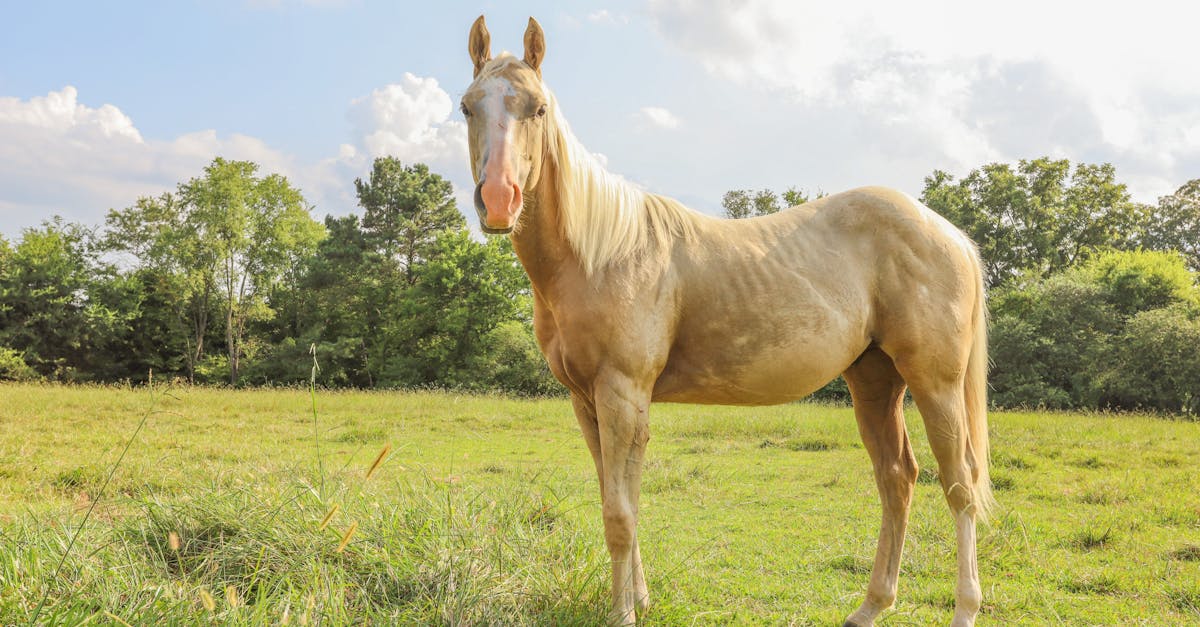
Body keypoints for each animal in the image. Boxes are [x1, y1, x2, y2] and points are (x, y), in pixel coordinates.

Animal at [460, 16, 993, 627]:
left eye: (538, 108)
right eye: (467, 106)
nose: (499, 200)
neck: (599, 254)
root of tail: (948, 232)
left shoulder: (623, 394)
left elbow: (620, 515)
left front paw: (623, 613)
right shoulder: (586, 401)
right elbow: (618, 502)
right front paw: (640, 599)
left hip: (936, 384)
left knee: (960, 486)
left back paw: (964, 607)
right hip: (875, 382)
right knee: (897, 479)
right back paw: (871, 606)